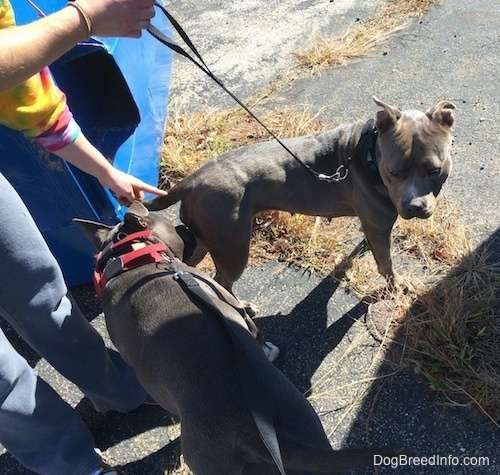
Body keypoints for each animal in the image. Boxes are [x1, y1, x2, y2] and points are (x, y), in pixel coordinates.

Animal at [75, 201, 410, 475]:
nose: (186, 227)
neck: (132, 257)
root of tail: (249, 430)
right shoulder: (227, 303)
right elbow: (254, 329)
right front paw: (269, 349)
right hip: (302, 425)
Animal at [146, 98, 458, 296]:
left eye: (434, 170)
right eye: (394, 171)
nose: (414, 206)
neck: (369, 152)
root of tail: (192, 179)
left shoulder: (372, 226)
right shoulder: (380, 228)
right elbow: (386, 263)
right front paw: (397, 284)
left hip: (204, 237)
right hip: (233, 246)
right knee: (222, 280)